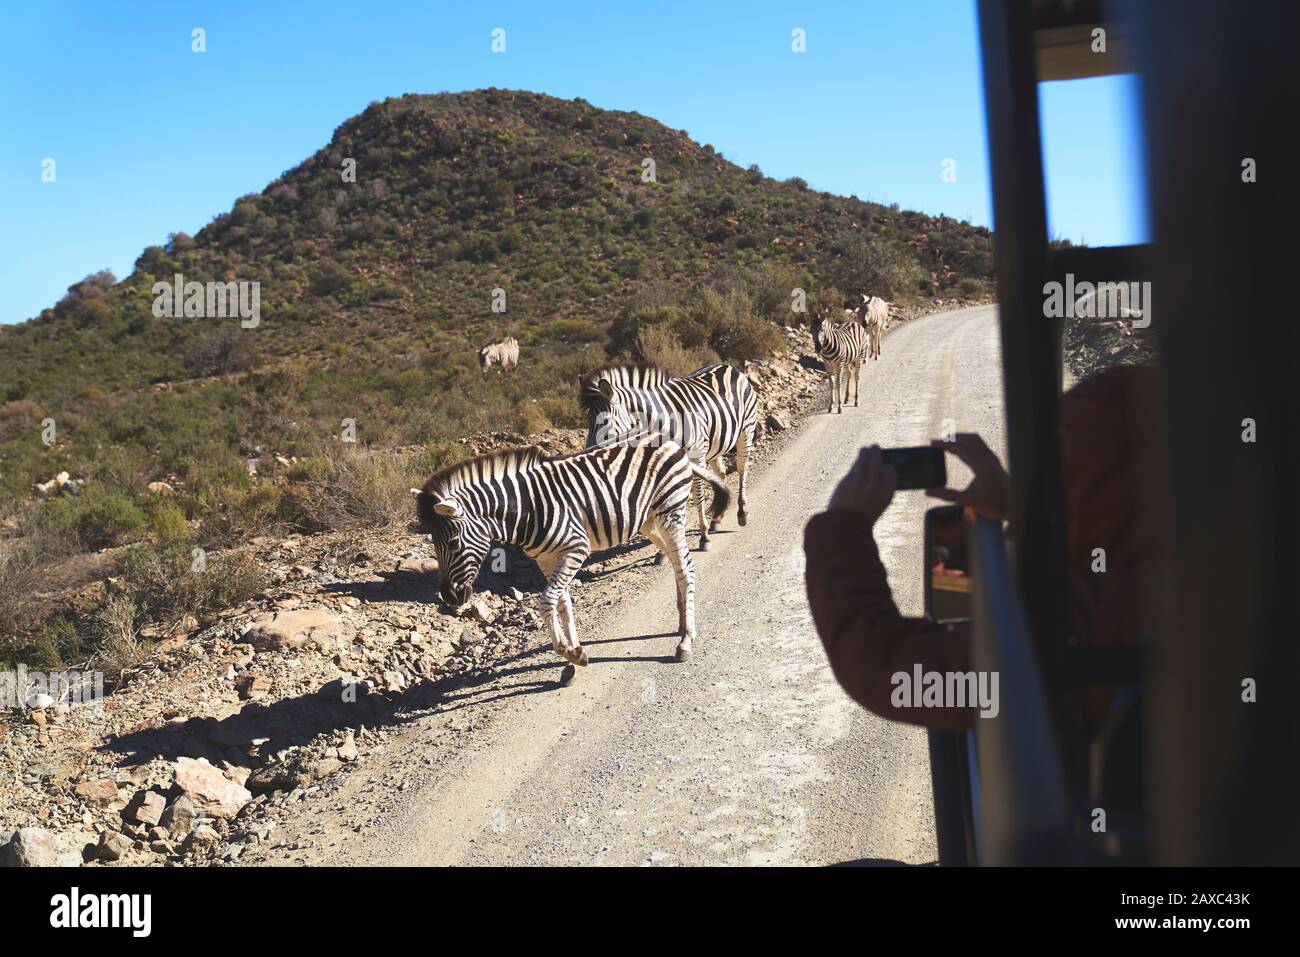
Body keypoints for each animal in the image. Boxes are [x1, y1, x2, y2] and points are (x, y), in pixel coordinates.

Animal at [582, 361, 759, 553]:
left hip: (745, 432)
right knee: (721, 472)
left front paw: (703, 537)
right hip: (716, 444)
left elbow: (698, 497)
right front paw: (663, 550)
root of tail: (727, 366)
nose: (587, 455)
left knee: (742, 469)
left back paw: (742, 513)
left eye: (604, 422)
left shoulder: (696, 458)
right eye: (587, 424)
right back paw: (717, 519)